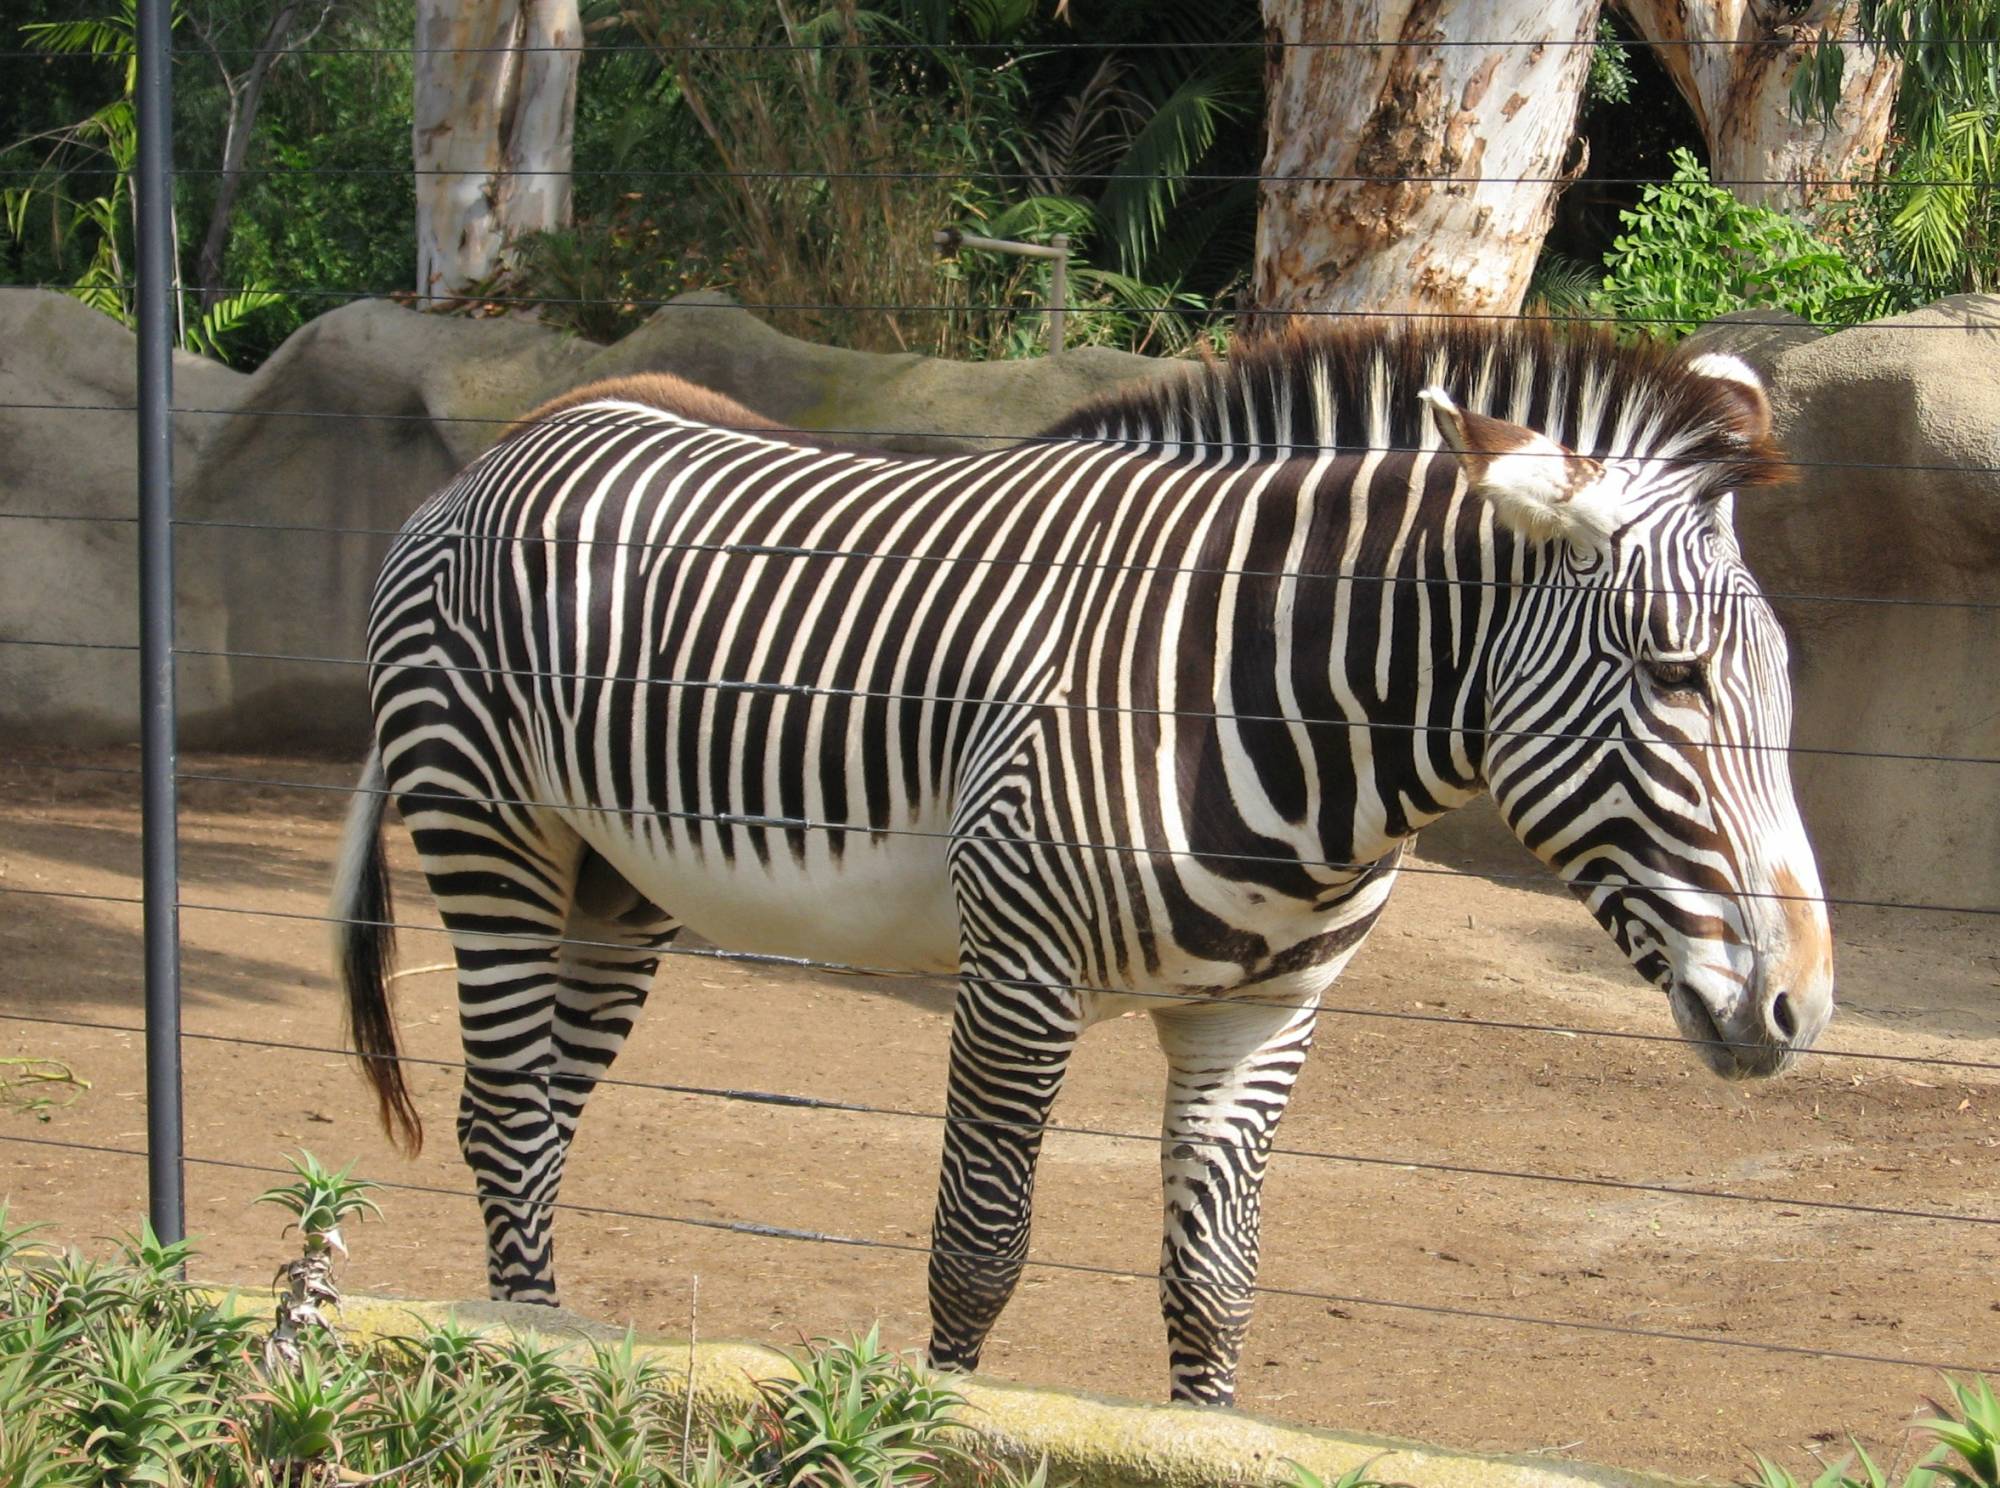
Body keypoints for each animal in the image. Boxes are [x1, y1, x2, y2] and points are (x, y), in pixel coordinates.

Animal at [336, 322, 1832, 1408]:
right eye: (1676, 676)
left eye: (1785, 688)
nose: (1798, 1008)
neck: (1257, 691)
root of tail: (532, 427)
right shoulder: (1018, 973)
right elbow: (977, 1254)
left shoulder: (1263, 1013)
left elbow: (1212, 1288)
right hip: (488, 833)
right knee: (504, 1119)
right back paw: (515, 1371)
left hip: (614, 887)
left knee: (542, 1123)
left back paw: (543, 1353)